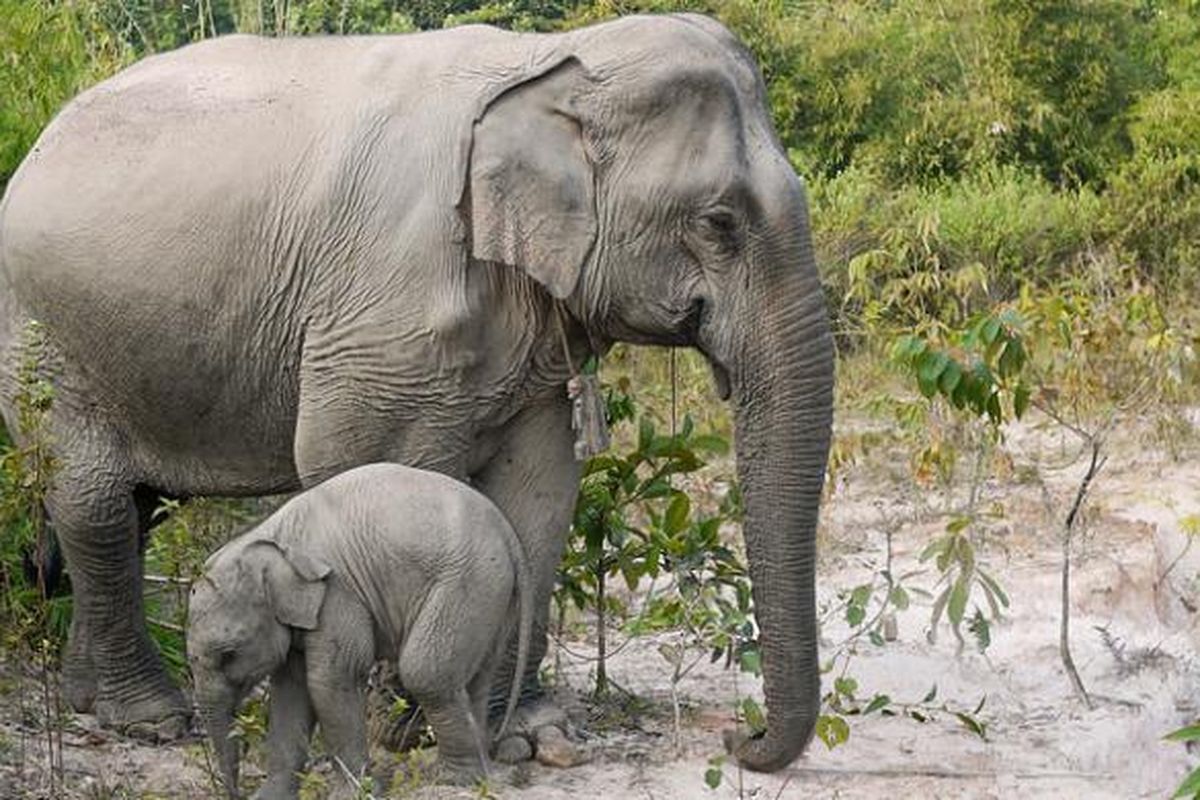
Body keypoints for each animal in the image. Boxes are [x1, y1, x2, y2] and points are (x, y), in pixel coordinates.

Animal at [186, 462, 530, 800]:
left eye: (229, 654)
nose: (236, 794)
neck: (272, 537)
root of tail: (508, 533)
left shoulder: (339, 595)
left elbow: (332, 680)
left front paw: (355, 793)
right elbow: (290, 691)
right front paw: (269, 798)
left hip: (468, 582)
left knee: (426, 674)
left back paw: (452, 781)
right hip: (494, 596)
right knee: (474, 678)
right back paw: (476, 773)